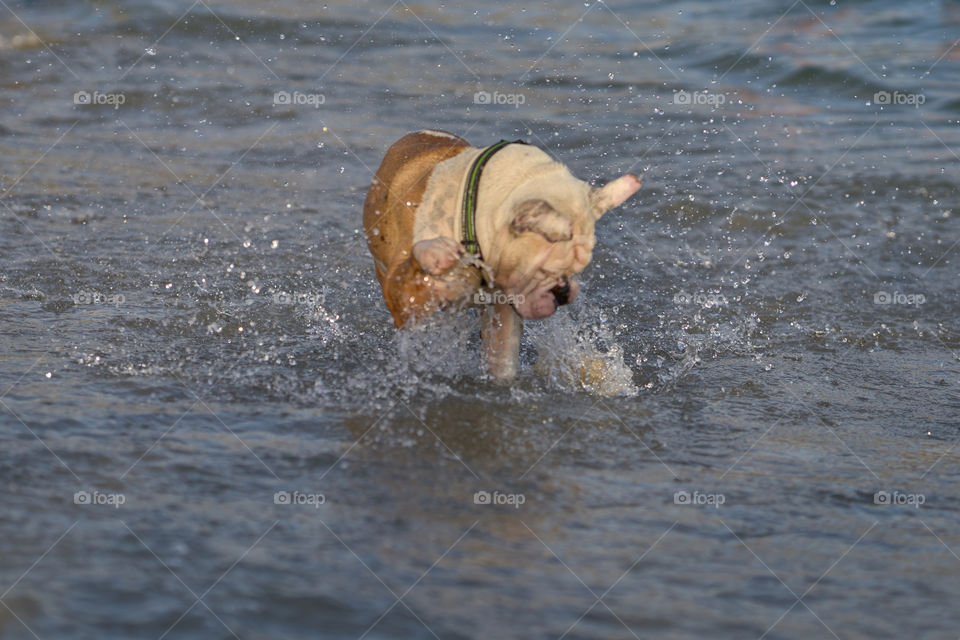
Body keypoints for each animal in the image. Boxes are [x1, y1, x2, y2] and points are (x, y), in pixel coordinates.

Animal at [364, 129, 640, 380]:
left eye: (575, 271)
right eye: (544, 271)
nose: (562, 292)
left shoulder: (502, 310)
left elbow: (501, 358)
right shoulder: (401, 298)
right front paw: (436, 251)